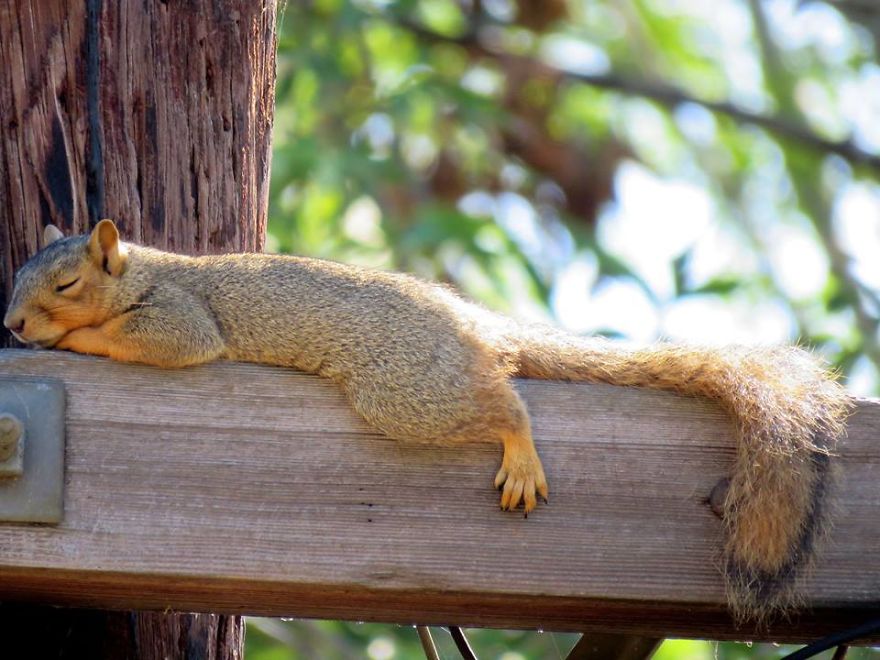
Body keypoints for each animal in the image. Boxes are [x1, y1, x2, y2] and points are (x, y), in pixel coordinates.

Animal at [4, 220, 852, 621]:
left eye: (67, 282)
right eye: (17, 274)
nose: (11, 323)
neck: (141, 272)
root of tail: (468, 322)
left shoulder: (182, 320)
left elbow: (145, 339)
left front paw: (67, 338)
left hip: (403, 391)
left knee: (505, 401)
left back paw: (520, 449)